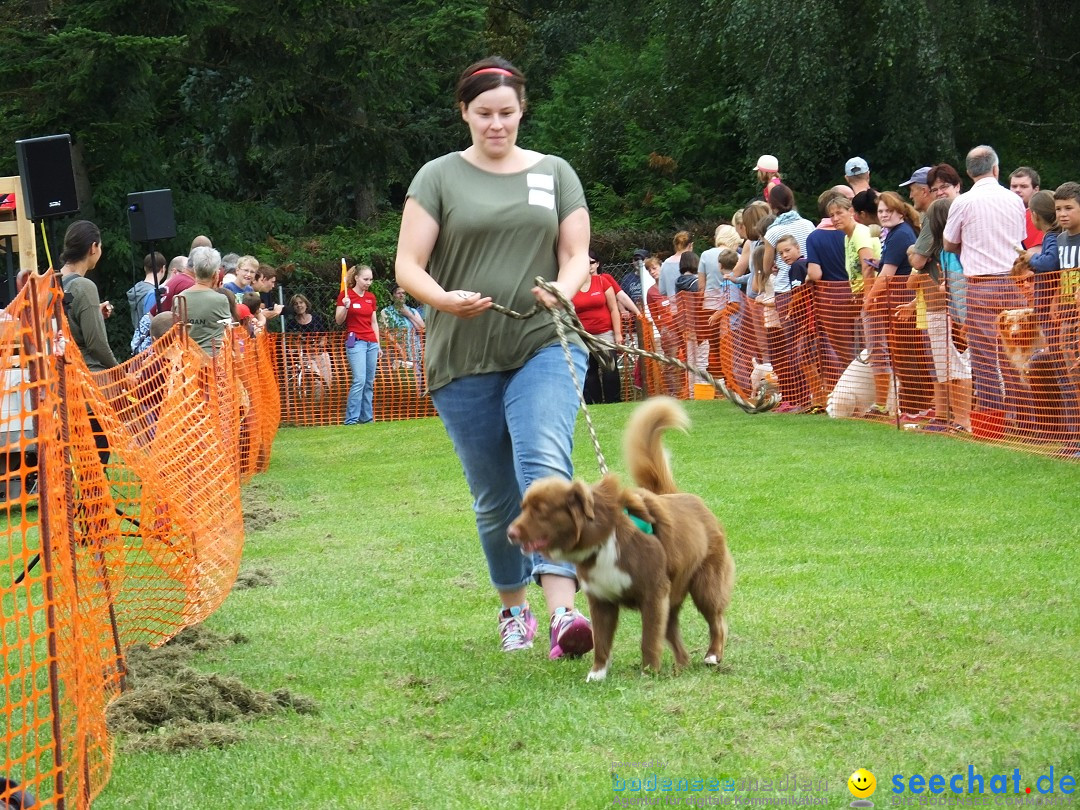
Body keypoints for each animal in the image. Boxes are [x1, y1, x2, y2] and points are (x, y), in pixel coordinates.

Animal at [397, 55, 596, 660]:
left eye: (506, 114)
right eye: (486, 114)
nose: (497, 128)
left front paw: (568, 618)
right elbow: (409, 262)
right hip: (472, 423)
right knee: (492, 505)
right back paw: (515, 622)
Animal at [505, 397, 734, 682]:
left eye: (541, 510)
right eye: (523, 507)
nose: (510, 533)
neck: (603, 539)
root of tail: (679, 495)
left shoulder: (653, 593)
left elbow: (649, 639)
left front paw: (649, 672)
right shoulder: (602, 600)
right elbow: (601, 641)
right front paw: (597, 674)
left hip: (705, 584)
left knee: (717, 621)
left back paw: (712, 655)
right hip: (673, 595)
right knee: (675, 635)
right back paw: (681, 666)